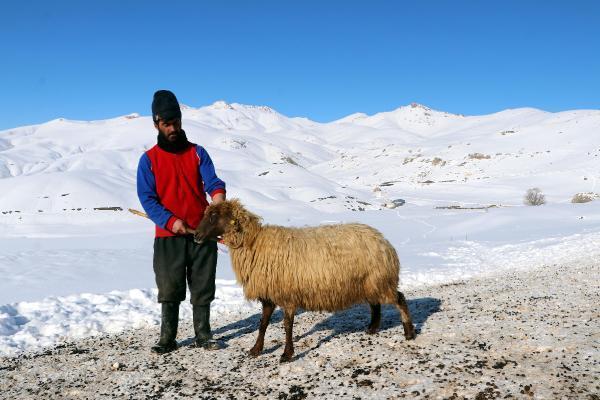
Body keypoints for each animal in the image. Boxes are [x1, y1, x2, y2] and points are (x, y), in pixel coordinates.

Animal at [195, 200, 414, 362]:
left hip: (380, 279)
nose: (196, 235)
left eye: (214, 216)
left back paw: (409, 332)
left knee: (400, 299)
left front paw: (286, 354)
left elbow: (287, 326)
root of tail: (383, 241)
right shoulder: (269, 296)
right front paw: (256, 349)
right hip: (368, 282)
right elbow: (263, 324)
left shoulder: (288, 295)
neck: (255, 242)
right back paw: (372, 328)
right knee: (375, 304)